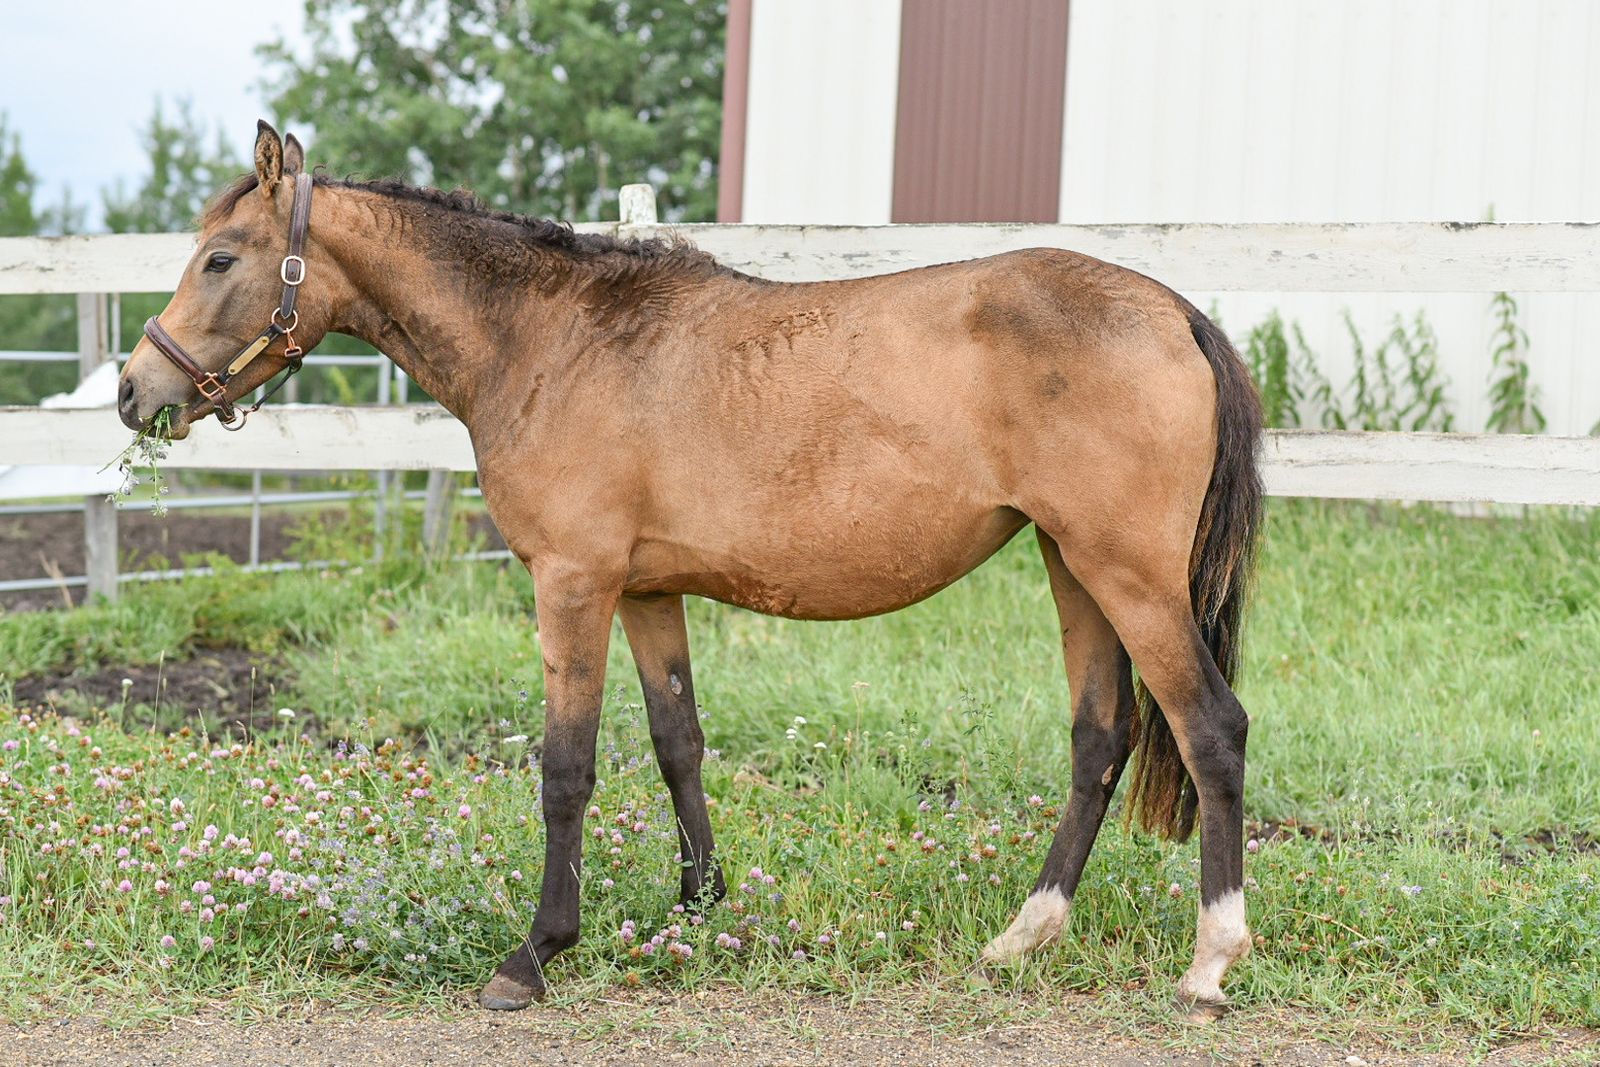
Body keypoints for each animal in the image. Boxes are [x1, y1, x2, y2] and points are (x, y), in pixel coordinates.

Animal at [118, 122, 1264, 1021]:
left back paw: (1208, 961)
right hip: (1072, 567)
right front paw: (699, 905)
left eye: (220, 259)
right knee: (1098, 741)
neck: (550, 339)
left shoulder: (573, 584)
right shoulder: (645, 591)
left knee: (1210, 728)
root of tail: (1174, 309)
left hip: (1129, 578)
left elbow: (566, 769)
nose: (135, 391)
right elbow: (679, 743)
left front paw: (536, 951)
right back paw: (1024, 934)